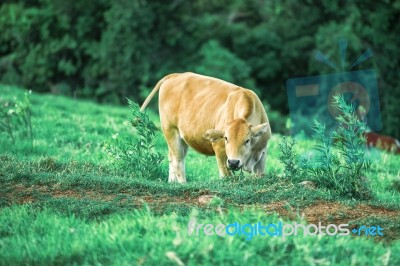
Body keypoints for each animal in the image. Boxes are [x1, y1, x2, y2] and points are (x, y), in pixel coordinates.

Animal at [141, 72, 272, 183]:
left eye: (247, 140)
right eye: (226, 138)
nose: (234, 162)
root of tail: (176, 75)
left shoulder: (262, 153)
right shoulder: (220, 149)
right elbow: (226, 176)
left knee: (171, 158)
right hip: (170, 130)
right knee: (178, 161)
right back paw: (183, 183)